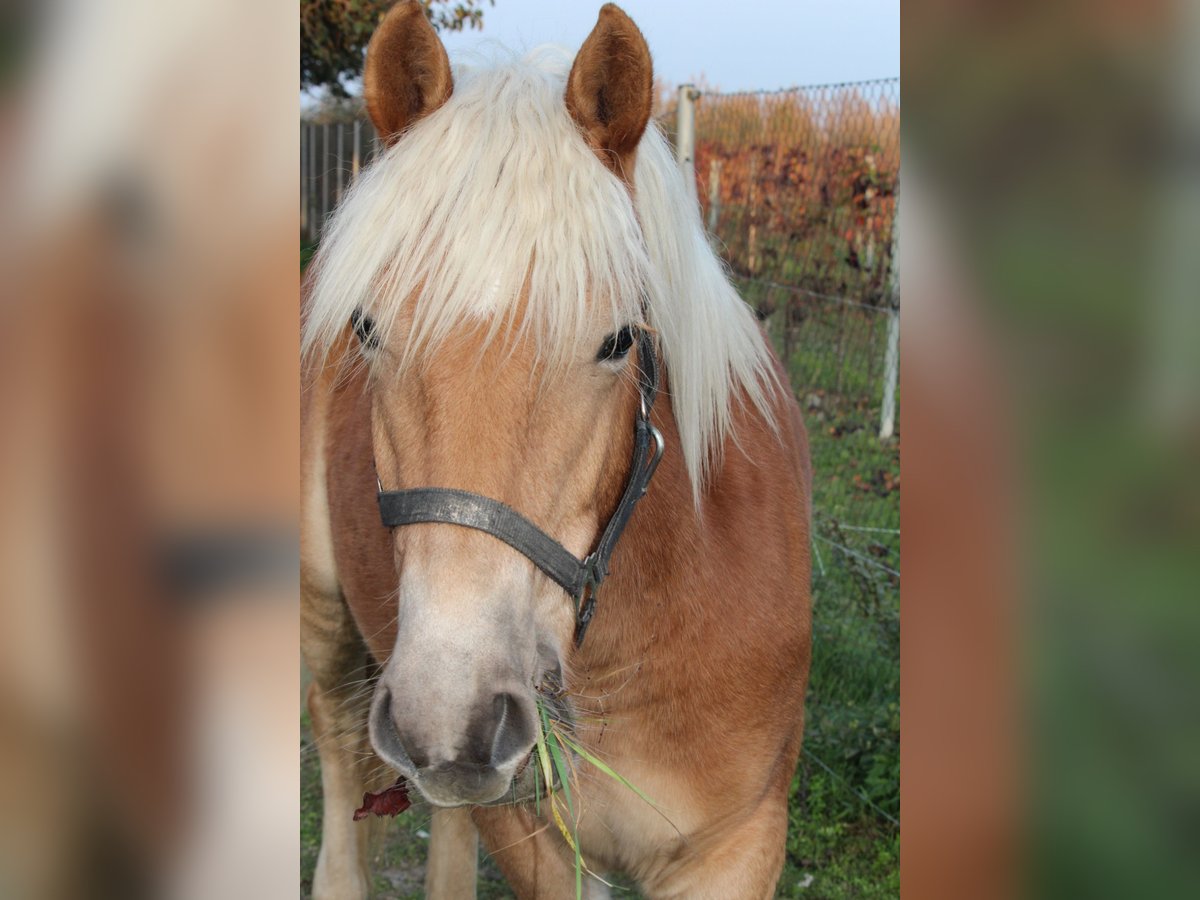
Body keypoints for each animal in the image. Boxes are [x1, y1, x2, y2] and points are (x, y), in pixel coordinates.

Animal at [300, 3, 811, 897]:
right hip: (326, 627)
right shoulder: (536, 844)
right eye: (365, 329)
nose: (450, 715)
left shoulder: (738, 845)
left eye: (619, 341)